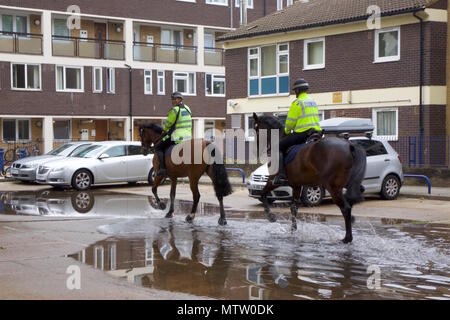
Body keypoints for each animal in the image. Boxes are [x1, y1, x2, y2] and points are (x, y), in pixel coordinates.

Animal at [253, 114, 366, 244]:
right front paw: (293, 231)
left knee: (345, 208)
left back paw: (347, 238)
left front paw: (271, 217)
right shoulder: (296, 185)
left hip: (332, 187)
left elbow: (262, 194)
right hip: (346, 184)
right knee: (352, 199)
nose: (255, 150)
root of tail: (349, 145)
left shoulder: (273, 180)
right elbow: (293, 208)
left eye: (256, 128)